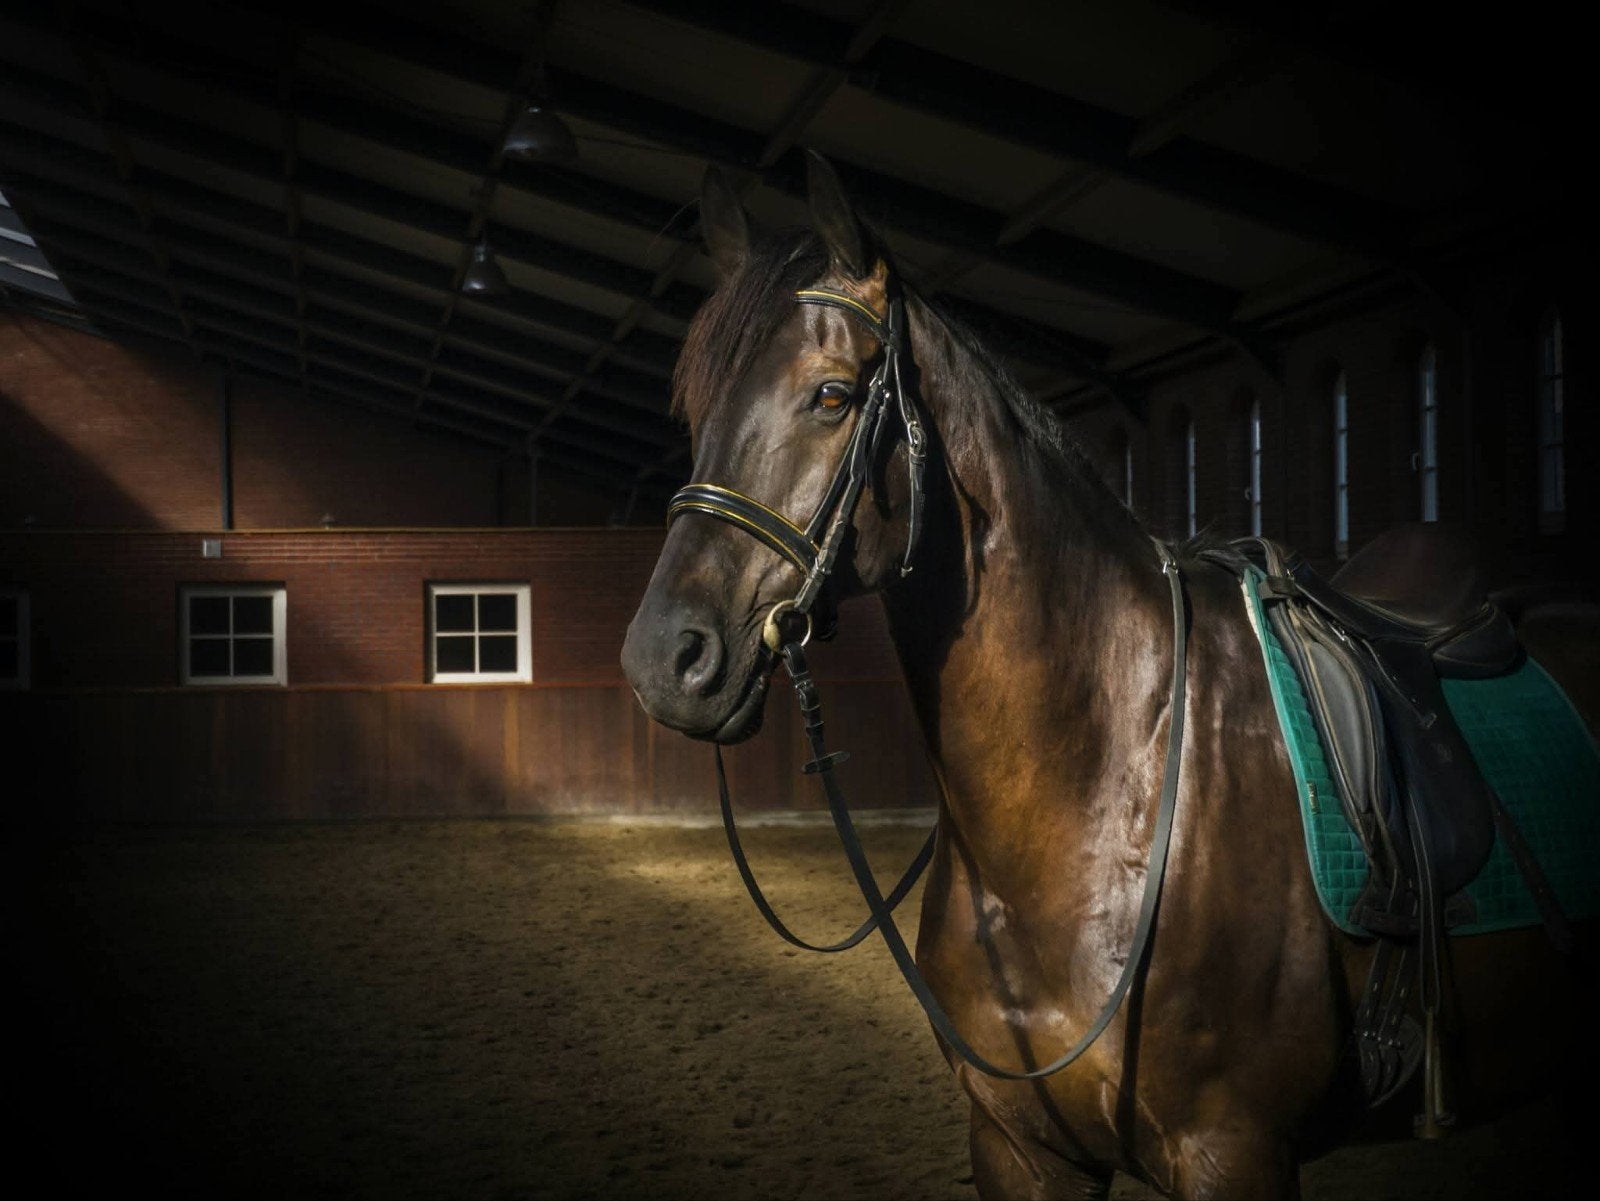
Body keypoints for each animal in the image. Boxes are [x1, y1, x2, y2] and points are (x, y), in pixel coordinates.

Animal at [619, 151, 1597, 1199]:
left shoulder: (1233, 1151)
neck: (1102, 784)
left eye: (833, 395)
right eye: (695, 406)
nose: (664, 657)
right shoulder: (1018, 1147)